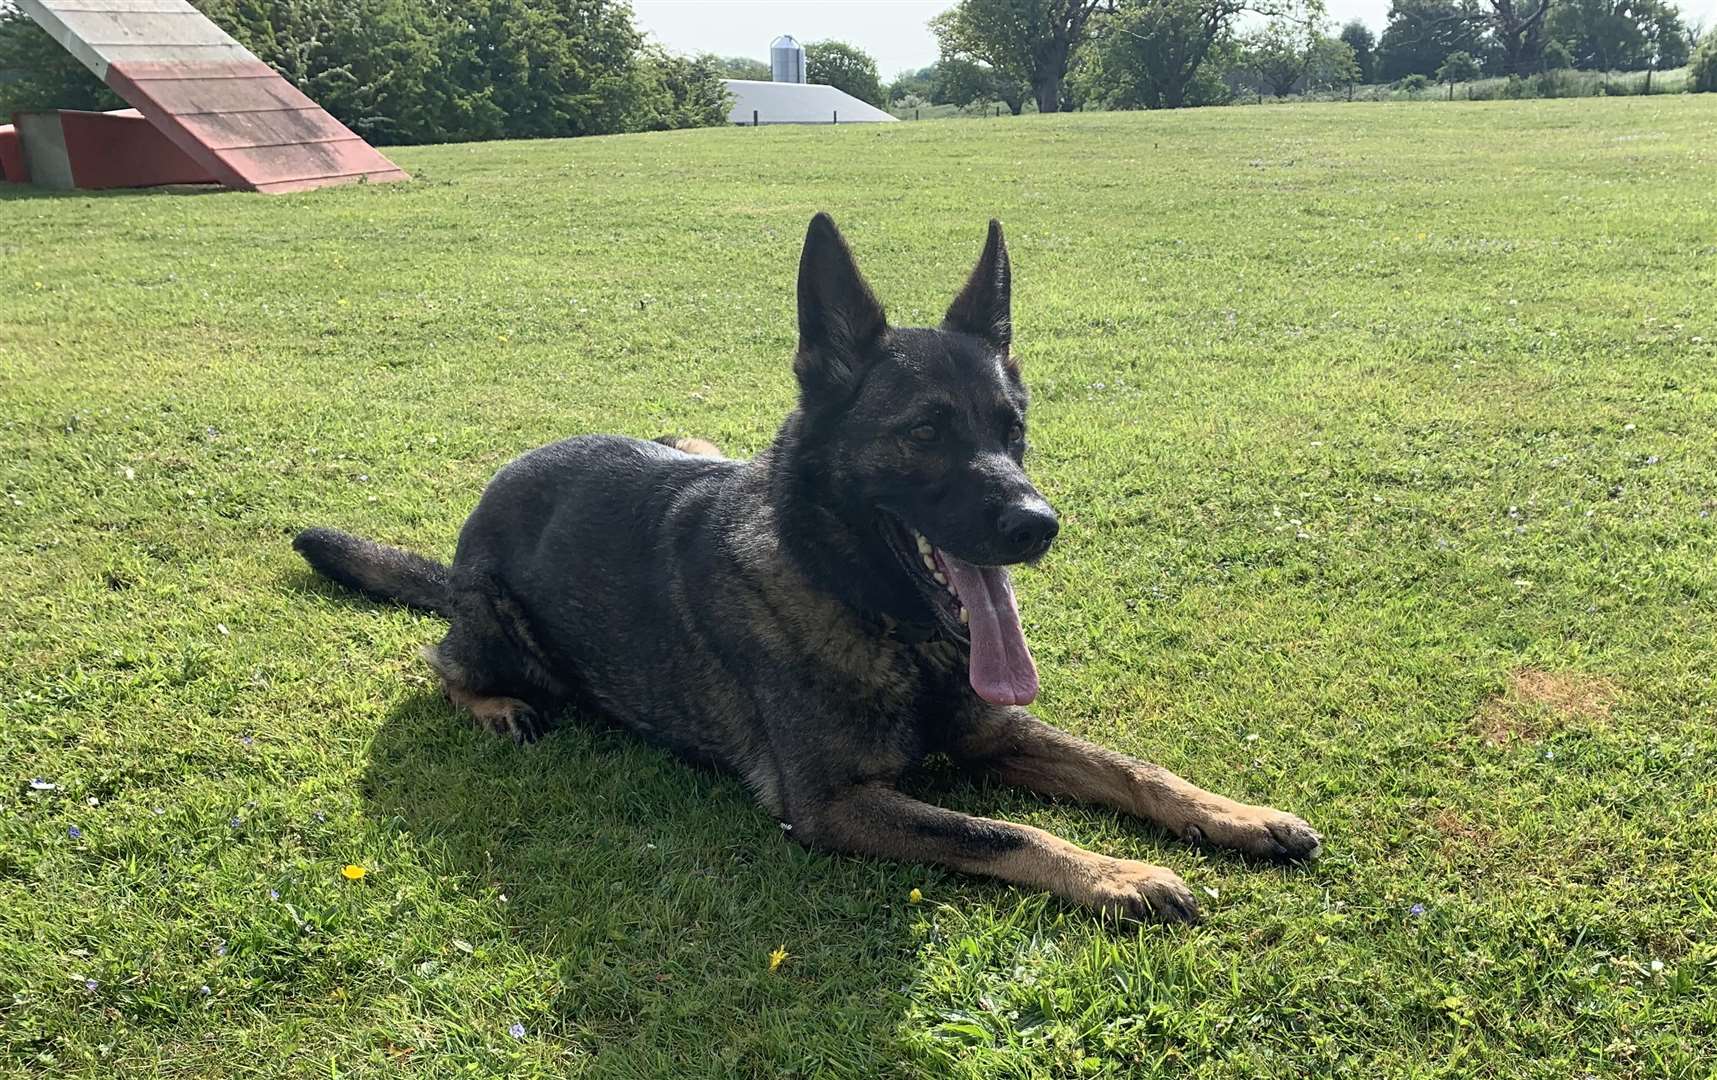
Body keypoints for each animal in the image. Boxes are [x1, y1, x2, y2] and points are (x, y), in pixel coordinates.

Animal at [295, 214, 1318, 920]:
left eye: (1012, 428)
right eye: (924, 433)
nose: (1038, 525)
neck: (881, 624)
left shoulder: (993, 729)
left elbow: (1135, 769)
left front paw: (1235, 814)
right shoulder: (832, 805)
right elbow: (1003, 827)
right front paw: (1116, 872)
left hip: (689, 438)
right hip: (495, 626)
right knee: (439, 661)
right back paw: (496, 705)